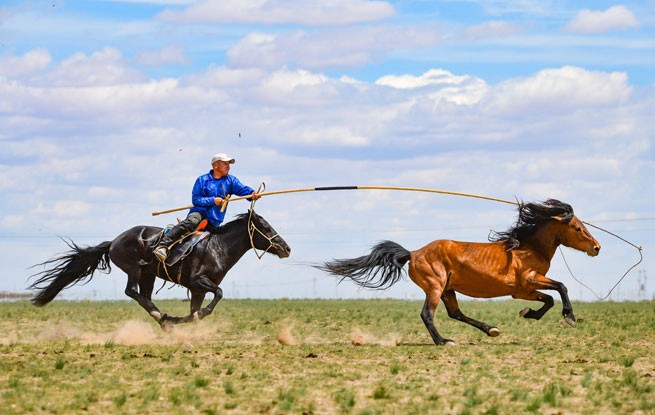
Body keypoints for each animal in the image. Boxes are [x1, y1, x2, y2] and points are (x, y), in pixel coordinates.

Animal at [29, 211, 290, 328]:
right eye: (266, 227)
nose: (287, 248)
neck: (217, 247)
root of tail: (113, 241)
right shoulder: (197, 282)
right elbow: (219, 294)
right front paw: (190, 317)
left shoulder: (198, 290)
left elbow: (197, 308)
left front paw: (183, 319)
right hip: (134, 269)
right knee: (131, 292)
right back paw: (160, 316)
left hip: (148, 275)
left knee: (143, 295)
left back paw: (164, 318)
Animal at [317, 199, 600, 346]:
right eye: (577, 228)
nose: (597, 247)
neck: (527, 248)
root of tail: (413, 253)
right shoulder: (529, 281)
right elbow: (561, 287)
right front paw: (569, 317)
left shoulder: (524, 291)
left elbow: (549, 298)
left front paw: (529, 313)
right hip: (435, 287)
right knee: (428, 315)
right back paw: (443, 341)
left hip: (447, 290)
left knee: (455, 313)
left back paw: (490, 330)